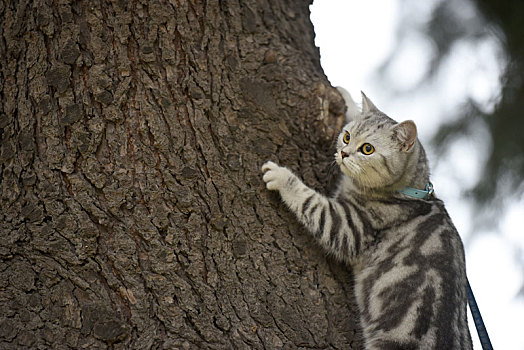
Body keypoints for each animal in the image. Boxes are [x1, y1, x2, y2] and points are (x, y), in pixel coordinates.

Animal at [260, 89, 470, 348]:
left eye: (367, 149)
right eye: (347, 136)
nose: (343, 153)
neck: (409, 190)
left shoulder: (348, 227)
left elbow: (311, 202)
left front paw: (281, 176)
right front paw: (349, 99)